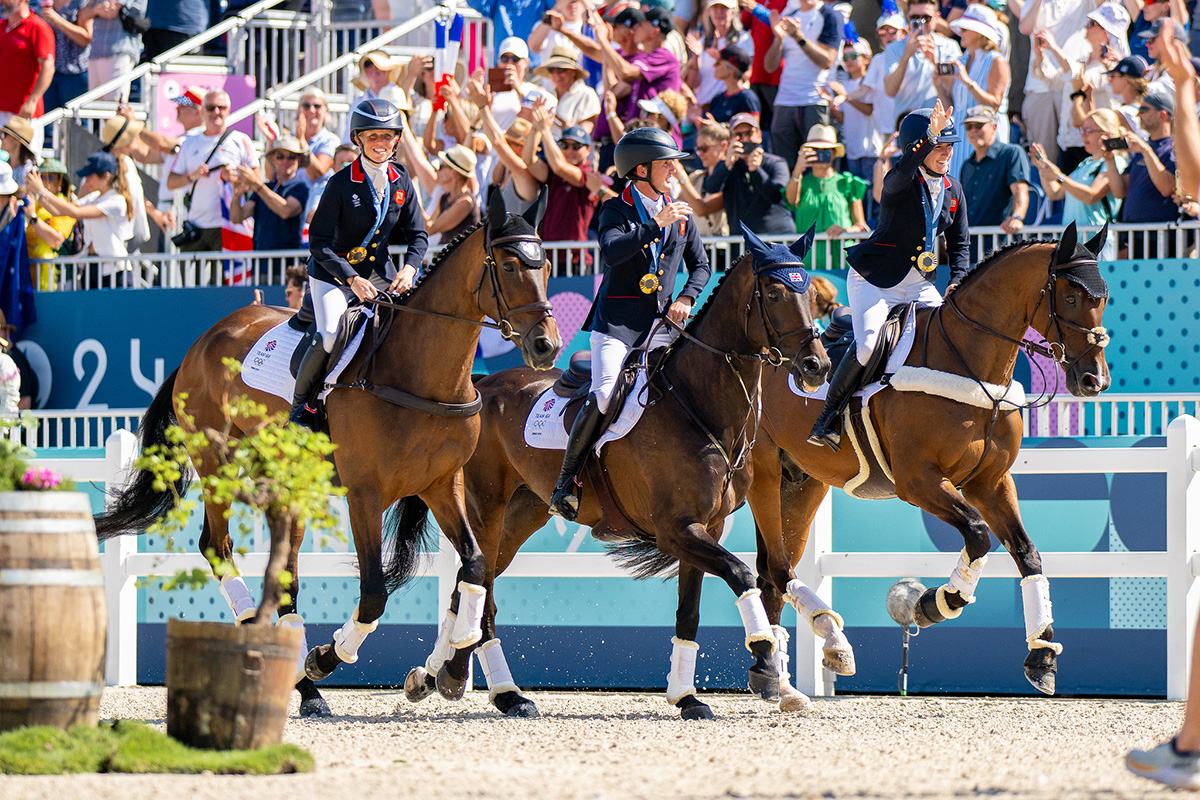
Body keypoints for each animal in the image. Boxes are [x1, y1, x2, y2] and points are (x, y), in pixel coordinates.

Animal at [94, 194, 561, 719]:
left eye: (546, 266)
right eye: (508, 265)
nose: (546, 345)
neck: (421, 373)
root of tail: (205, 340)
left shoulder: (444, 485)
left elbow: (475, 569)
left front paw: (452, 673)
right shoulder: (365, 494)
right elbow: (374, 594)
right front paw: (325, 657)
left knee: (285, 571)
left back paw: (305, 688)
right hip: (217, 462)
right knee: (218, 546)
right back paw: (281, 657)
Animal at [398, 236, 830, 719]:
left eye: (810, 294)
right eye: (773, 294)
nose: (817, 366)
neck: (698, 405)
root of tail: (482, 385)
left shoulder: (706, 528)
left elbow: (689, 613)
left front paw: (686, 698)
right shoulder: (676, 531)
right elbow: (742, 574)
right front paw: (764, 659)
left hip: (523, 512)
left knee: (471, 581)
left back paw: (440, 676)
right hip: (485, 507)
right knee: (480, 582)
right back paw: (482, 684)